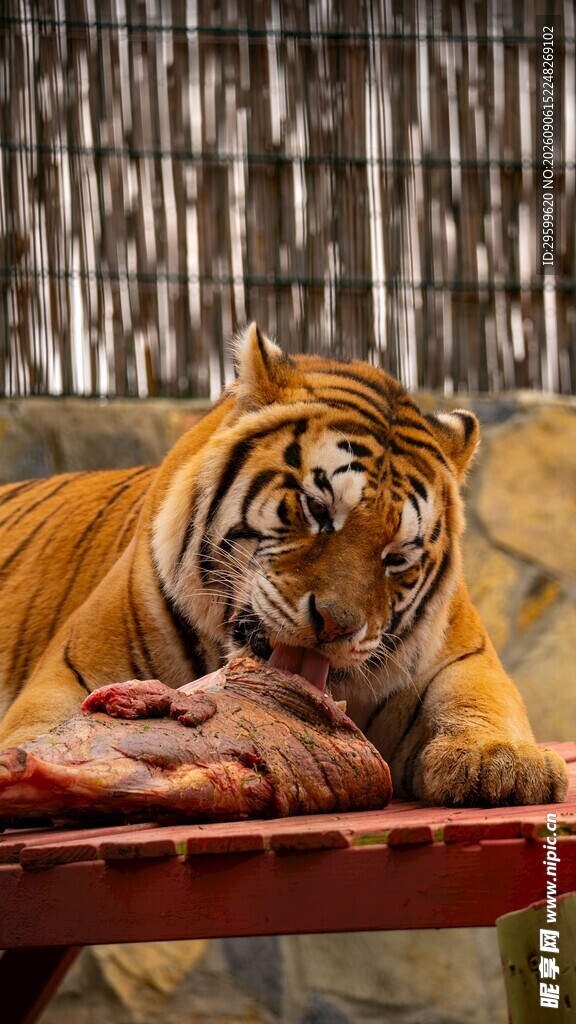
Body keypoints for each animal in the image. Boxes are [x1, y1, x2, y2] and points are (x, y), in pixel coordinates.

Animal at [0, 323, 568, 806]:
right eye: (318, 509)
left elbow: (480, 702)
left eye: (396, 557)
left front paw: (504, 762)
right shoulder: (73, 674)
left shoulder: (462, 656)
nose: (335, 625)